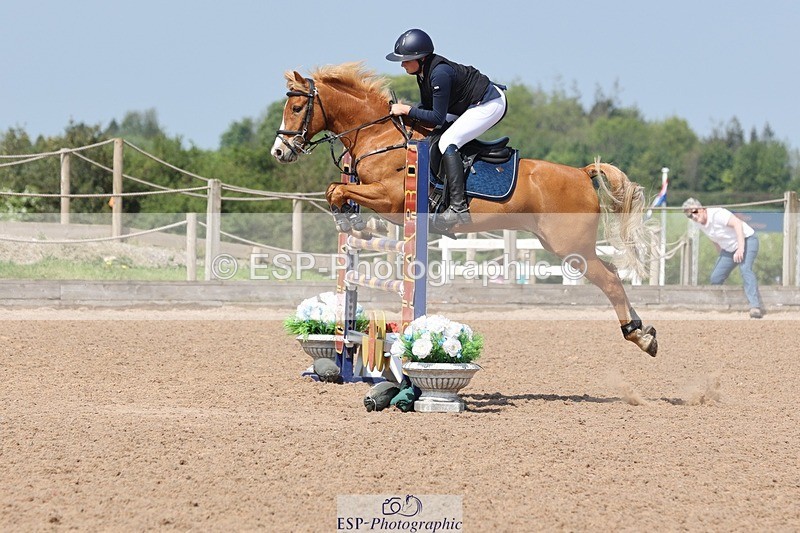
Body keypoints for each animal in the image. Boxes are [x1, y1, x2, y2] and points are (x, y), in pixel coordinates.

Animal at [271, 62, 658, 357]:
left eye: (297, 108)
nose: (279, 152)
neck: (380, 137)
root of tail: (581, 172)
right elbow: (335, 190)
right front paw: (352, 221)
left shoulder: (391, 198)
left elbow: (338, 189)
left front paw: (351, 219)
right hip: (566, 246)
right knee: (612, 271)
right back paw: (643, 330)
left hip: (570, 248)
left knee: (610, 280)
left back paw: (638, 336)